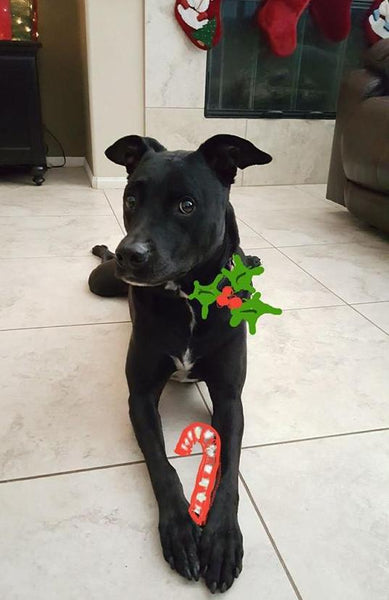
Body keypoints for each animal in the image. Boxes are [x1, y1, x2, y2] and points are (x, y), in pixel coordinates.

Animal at [87, 135, 270, 592]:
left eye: (186, 205)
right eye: (131, 199)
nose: (128, 254)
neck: (187, 297)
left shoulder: (229, 399)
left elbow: (228, 470)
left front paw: (221, 540)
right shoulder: (139, 397)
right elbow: (161, 465)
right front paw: (182, 531)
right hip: (101, 281)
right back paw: (101, 250)